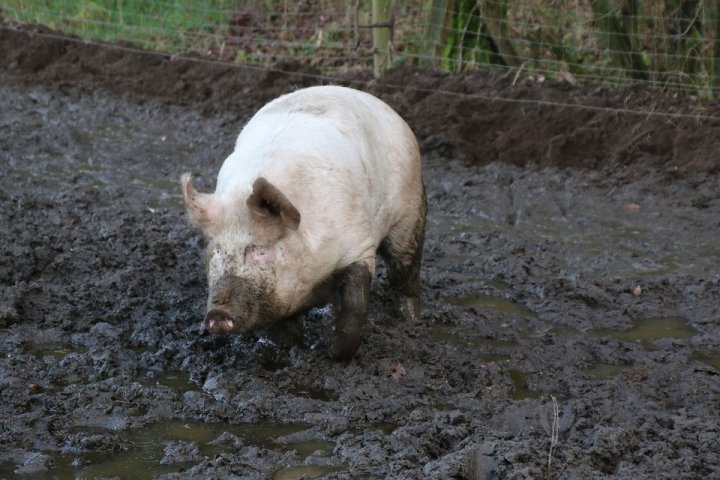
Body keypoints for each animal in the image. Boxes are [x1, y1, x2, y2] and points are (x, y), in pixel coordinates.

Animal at [181, 85, 426, 360]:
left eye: (259, 250)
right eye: (218, 251)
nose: (217, 313)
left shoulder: (359, 245)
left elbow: (355, 304)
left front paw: (333, 355)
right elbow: (280, 328)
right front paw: (293, 350)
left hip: (410, 209)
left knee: (405, 270)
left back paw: (411, 322)